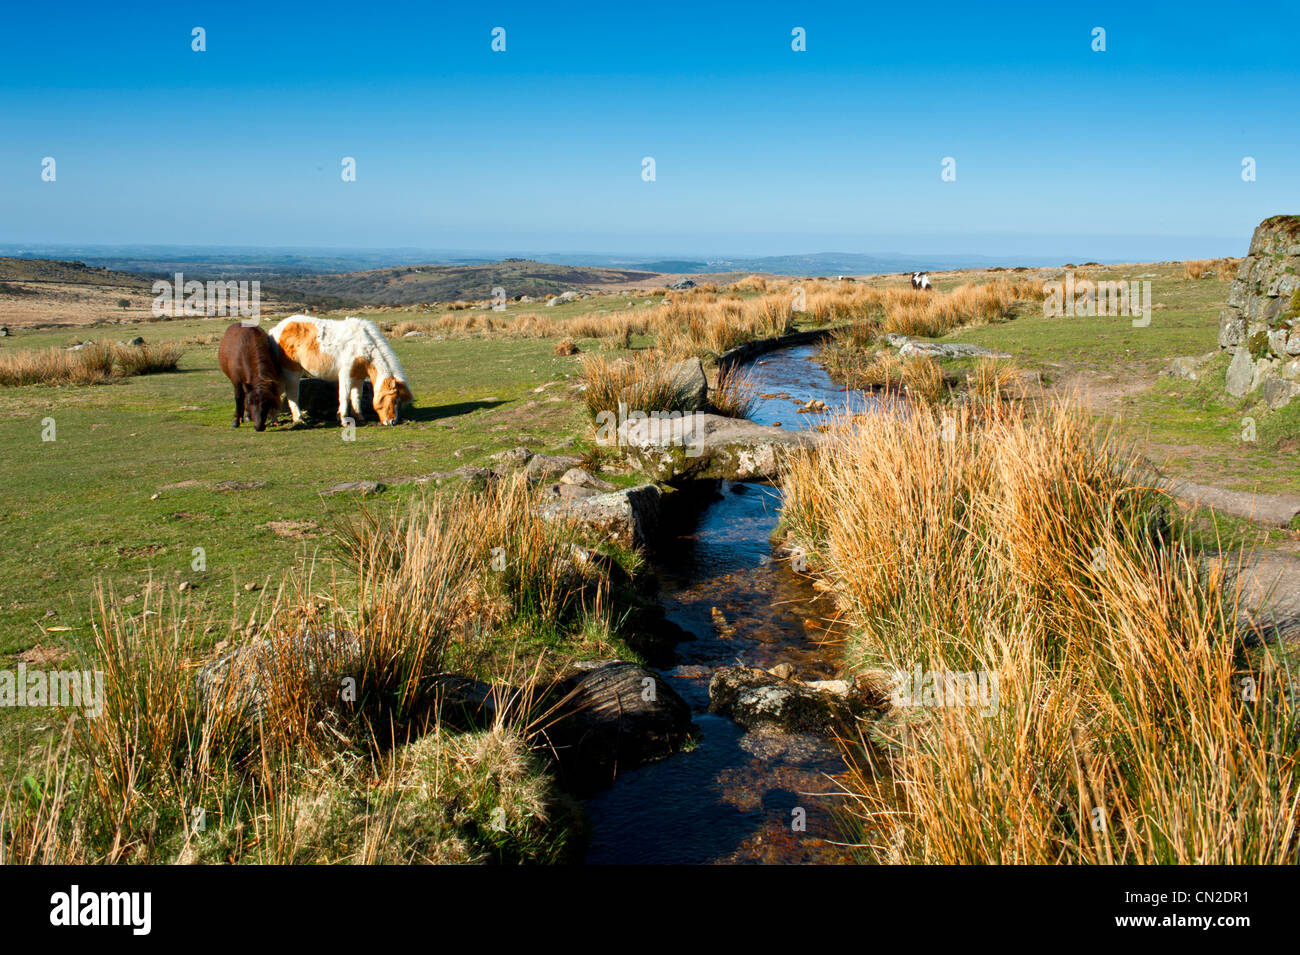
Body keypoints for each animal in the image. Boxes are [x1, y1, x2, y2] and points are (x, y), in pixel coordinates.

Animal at [270, 315, 416, 428]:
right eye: (393, 399)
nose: (392, 421)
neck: (364, 346)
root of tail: (275, 330)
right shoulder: (346, 375)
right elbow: (344, 396)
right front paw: (344, 420)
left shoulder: (358, 377)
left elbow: (356, 397)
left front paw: (359, 418)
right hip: (291, 372)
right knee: (292, 393)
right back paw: (298, 419)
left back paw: (275, 420)